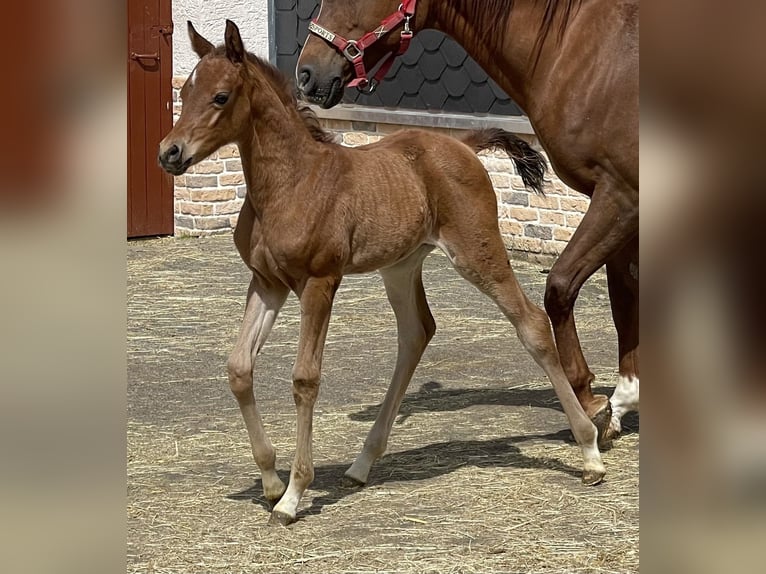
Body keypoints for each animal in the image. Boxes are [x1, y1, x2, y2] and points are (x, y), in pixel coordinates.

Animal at [158, 20, 605, 526]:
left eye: (221, 96)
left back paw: (590, 453)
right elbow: (238, 366)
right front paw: (271, 481)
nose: (169, 153)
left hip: (477, 253)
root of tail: (462, 145)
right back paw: (361, 464)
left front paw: (293, 495)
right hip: (400, 266)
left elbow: (305, 378)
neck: (291, 182)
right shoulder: (267, 282)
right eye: (185, 91)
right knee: (416, 332)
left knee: (530, 323)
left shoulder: (319, 282)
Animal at [296, 0, 639, 447]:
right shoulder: (621, 202)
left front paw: (590, 401)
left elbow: (561, 287)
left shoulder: (620, 195)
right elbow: (624, 300)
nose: (306, 74)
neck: (583, 51)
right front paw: (621, 401)